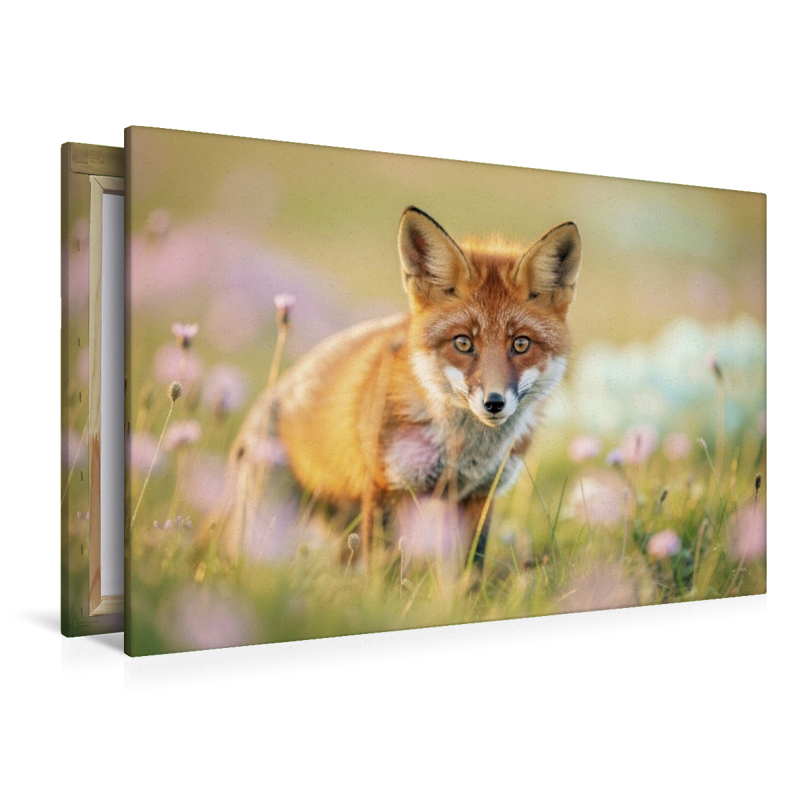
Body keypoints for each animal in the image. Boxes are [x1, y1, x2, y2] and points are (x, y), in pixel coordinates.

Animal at [209, 207, 581, 570]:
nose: (494, 402)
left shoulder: (479, 496)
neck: (463, 454)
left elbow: (468, 577)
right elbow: (382, 573)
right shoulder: (385, 488)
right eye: (463, 343)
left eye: (521, 344)